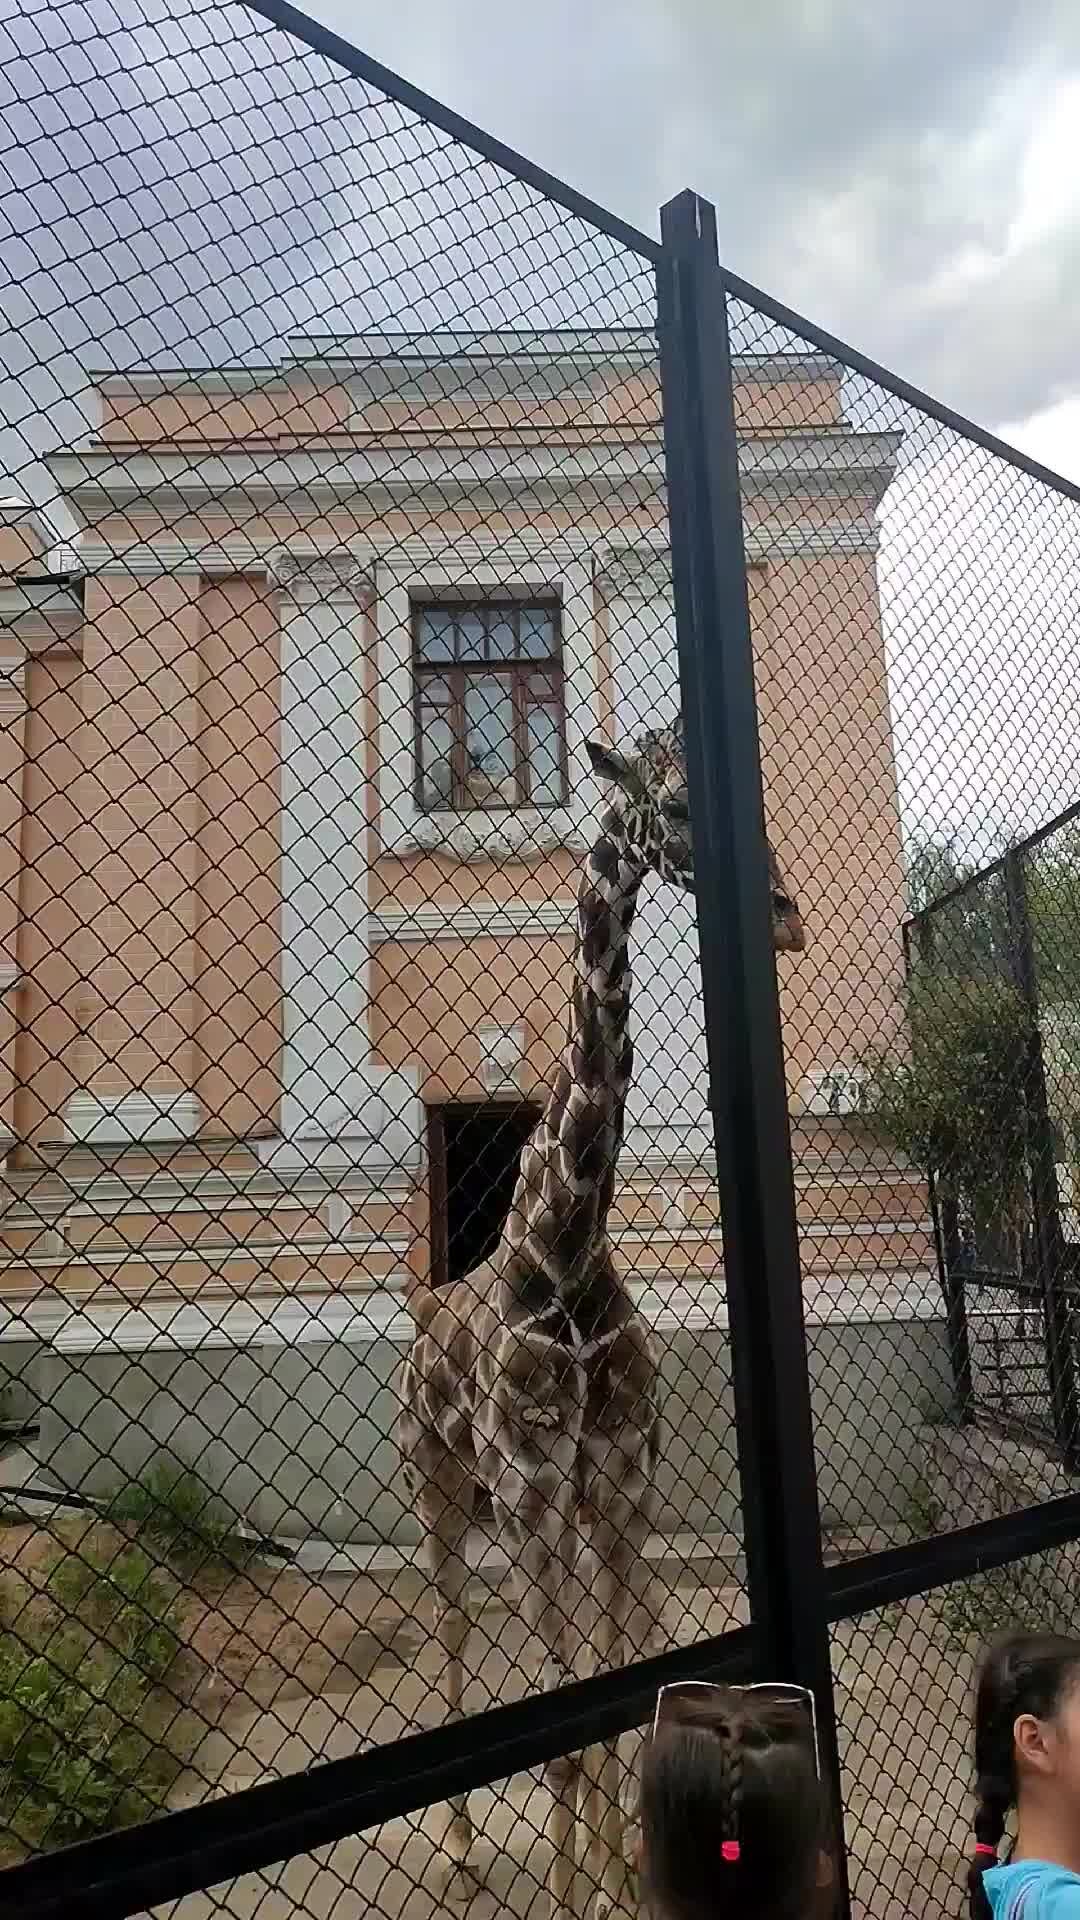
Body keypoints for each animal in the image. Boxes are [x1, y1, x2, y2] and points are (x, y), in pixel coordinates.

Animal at [393, 721, 799, 1920]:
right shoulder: (529, 1493)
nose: (782, 917)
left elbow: (618, 1699)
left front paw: (624, 1881)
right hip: (438, 1489)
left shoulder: (613, 1482)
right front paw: (584, 1895)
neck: (562, 1246)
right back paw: (465, 1851)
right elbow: (563, 1736)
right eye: (675, 807)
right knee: (451, 1625)